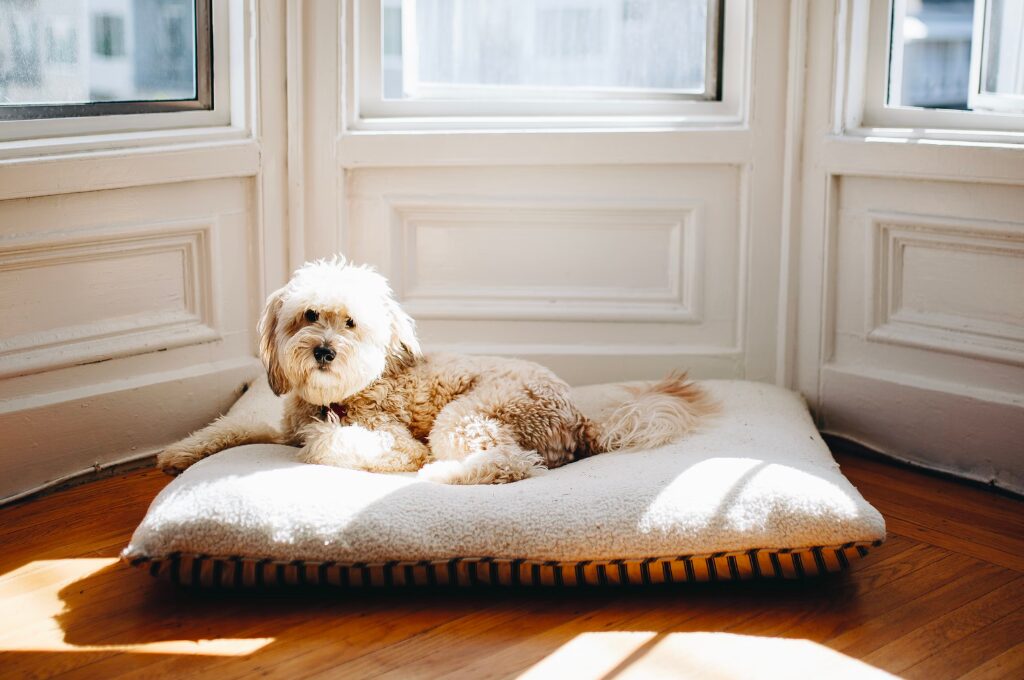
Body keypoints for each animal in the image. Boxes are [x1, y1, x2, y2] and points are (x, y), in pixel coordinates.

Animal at [155, 255, 716, 483]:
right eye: (309, 315)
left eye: (351, 323)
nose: (325, 351)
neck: (336, 396)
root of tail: (579, 418)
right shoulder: (278, 427)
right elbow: (233, 428)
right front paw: (180, 451)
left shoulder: (393, 441)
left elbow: (330, 443)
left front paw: (329, 439)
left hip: (467, 417)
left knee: (512, 464)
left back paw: (443, 474)